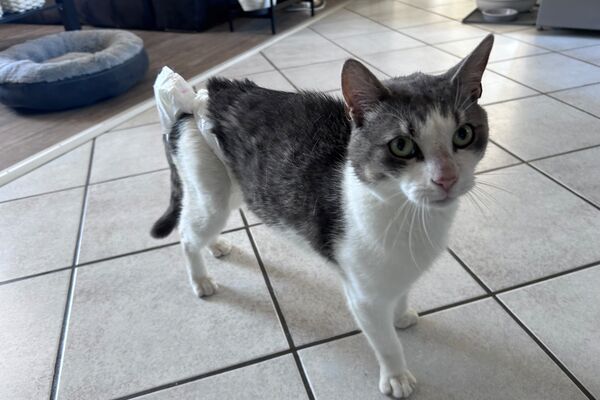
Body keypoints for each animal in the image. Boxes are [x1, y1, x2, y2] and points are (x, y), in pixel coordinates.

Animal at [150, 33, 492, 396]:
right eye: (401, 146)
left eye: (464, 134)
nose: (447, 178)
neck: (408, 215)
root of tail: (199, 98)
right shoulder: (363, 296)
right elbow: (385, 341)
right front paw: (396, 375)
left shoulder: (400, 270)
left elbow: (401, 292)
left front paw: (401, 314)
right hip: (210, 192)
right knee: (188, 233)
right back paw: (200, 278)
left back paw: (215, 245)